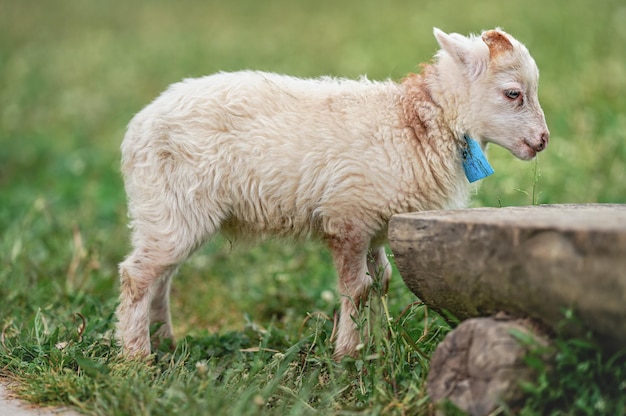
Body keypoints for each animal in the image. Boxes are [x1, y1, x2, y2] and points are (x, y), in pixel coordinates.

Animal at [116, 27, 544, 360]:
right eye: (512, 93)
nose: (543, 140)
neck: (416, 122)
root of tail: (138, 125)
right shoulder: (349, 216)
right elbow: (358, 289)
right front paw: (348, 355)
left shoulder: (375, 223)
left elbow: (381, 281)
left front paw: (377, 345)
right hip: (172, 203)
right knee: (138, 275)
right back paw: (136, 357)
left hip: (168, 211)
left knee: (160, 276)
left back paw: (163, 341)